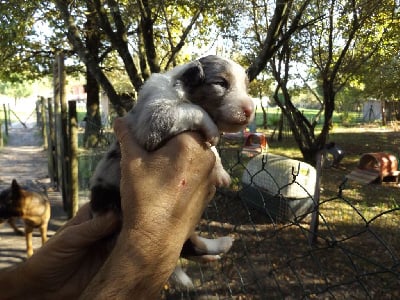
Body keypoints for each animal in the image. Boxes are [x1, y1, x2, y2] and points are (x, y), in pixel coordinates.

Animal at [89, 54, 255, 288]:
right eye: (221, 83)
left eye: (246, 87)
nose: (250, 109)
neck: (180, 89)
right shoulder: (155, 117)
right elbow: (191, 110)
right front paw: (213, 130)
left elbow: (212, 150)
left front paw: (221, 172)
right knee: (187, 246)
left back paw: (219, 246)